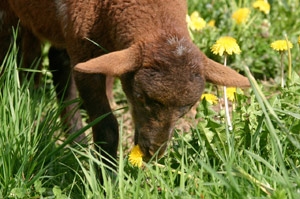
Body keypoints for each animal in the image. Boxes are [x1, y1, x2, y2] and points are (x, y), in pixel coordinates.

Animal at [1, 0, 250, 171]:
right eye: (141, 96)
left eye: (187, 107)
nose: (153, 152)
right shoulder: (84, 51)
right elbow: (107, 128)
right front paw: (107, 178)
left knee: (54, 61)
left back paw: (75, 140)